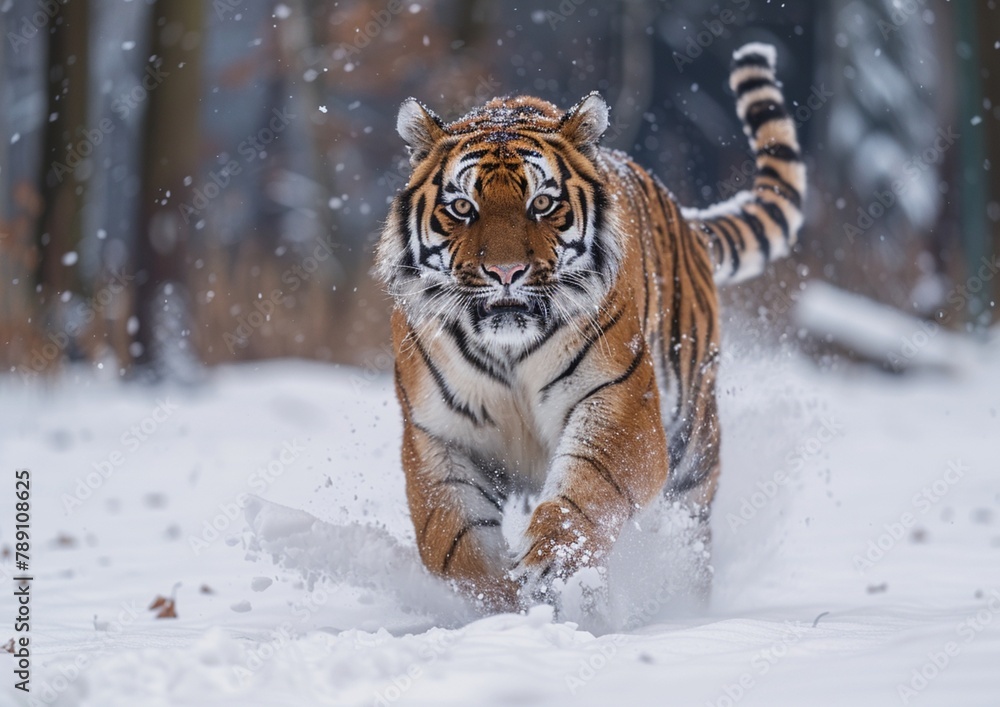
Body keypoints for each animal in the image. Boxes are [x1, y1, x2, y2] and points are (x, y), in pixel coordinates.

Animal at [376, 43, 805, 612]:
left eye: (542, 203)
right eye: (463, 207)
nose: (506, 272)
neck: (507, 350)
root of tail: (686, 218)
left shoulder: (621, 402)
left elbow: (588, 490)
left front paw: (551, 564)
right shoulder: (437, 437)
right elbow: (452, 540)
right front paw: (501, 605)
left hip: (694, 437)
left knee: (690, 531)